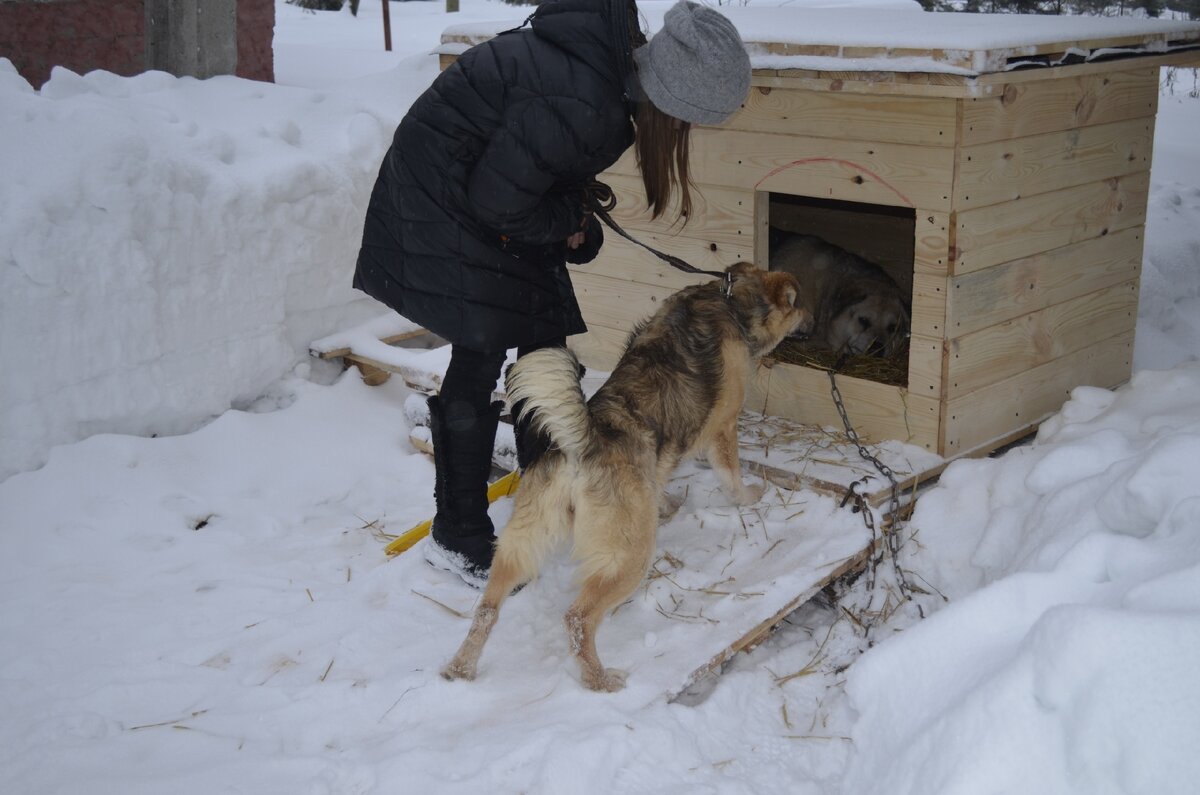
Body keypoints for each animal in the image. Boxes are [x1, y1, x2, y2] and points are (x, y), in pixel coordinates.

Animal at [436, 261, 811, 691]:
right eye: (801, 304)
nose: (813, 321)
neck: (732, 299)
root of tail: (579, 445)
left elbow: (662, 480)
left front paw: (668, 503)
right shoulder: (723, 426)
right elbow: (731, 475)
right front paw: (748, 497)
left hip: (519, 546)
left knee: (486, 609)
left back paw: (460, 668)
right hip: (629, 557)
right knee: (578, 618)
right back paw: (600, 680)